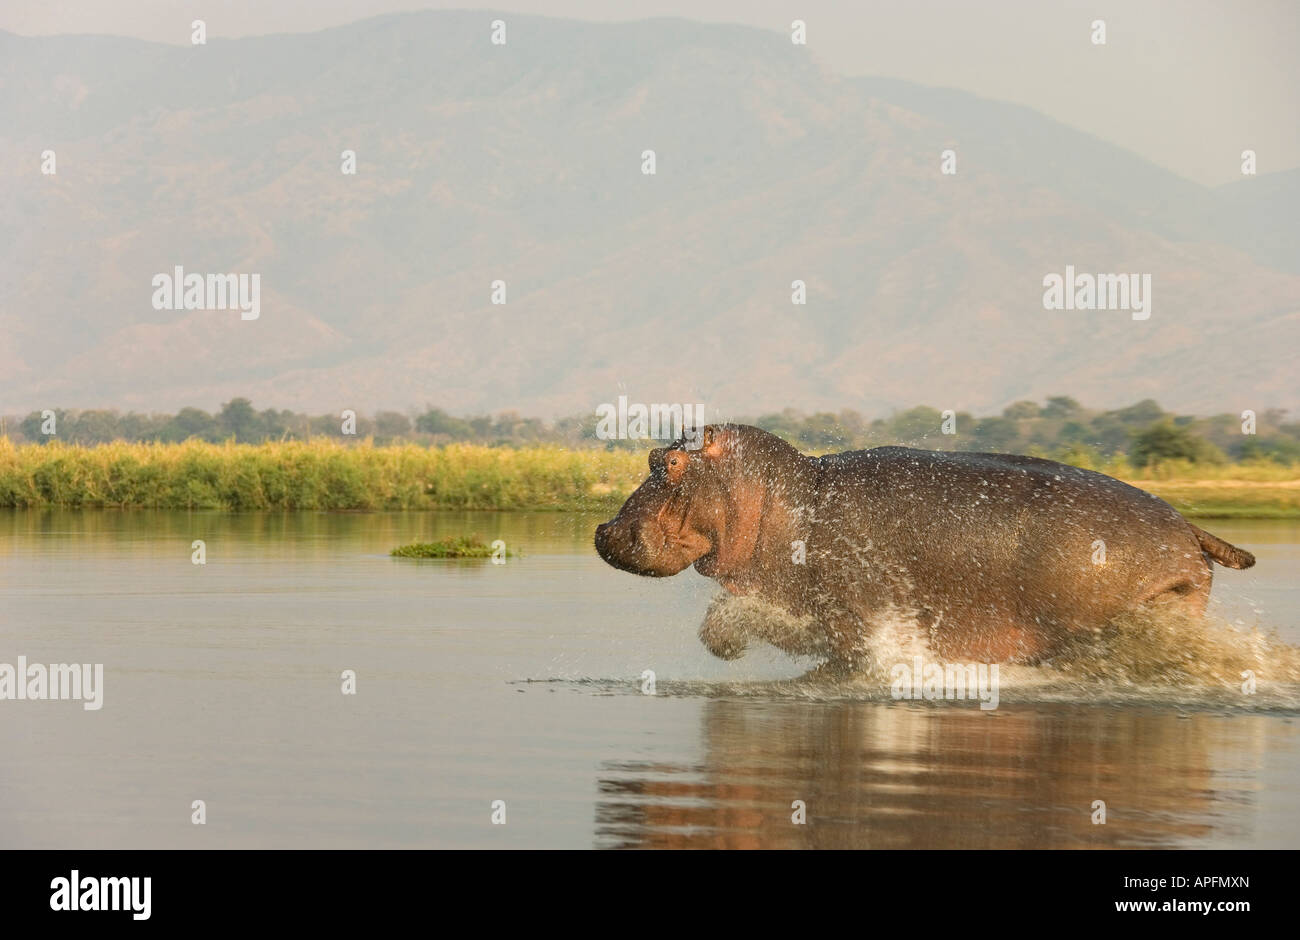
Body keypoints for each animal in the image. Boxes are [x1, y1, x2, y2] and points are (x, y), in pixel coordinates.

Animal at [595, 426, 1253, 670]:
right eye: (651, 454)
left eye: (670, 463)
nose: (603, 530)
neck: (781, 493)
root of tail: (1188, 527)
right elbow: (731, 618)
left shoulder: (853, 613)